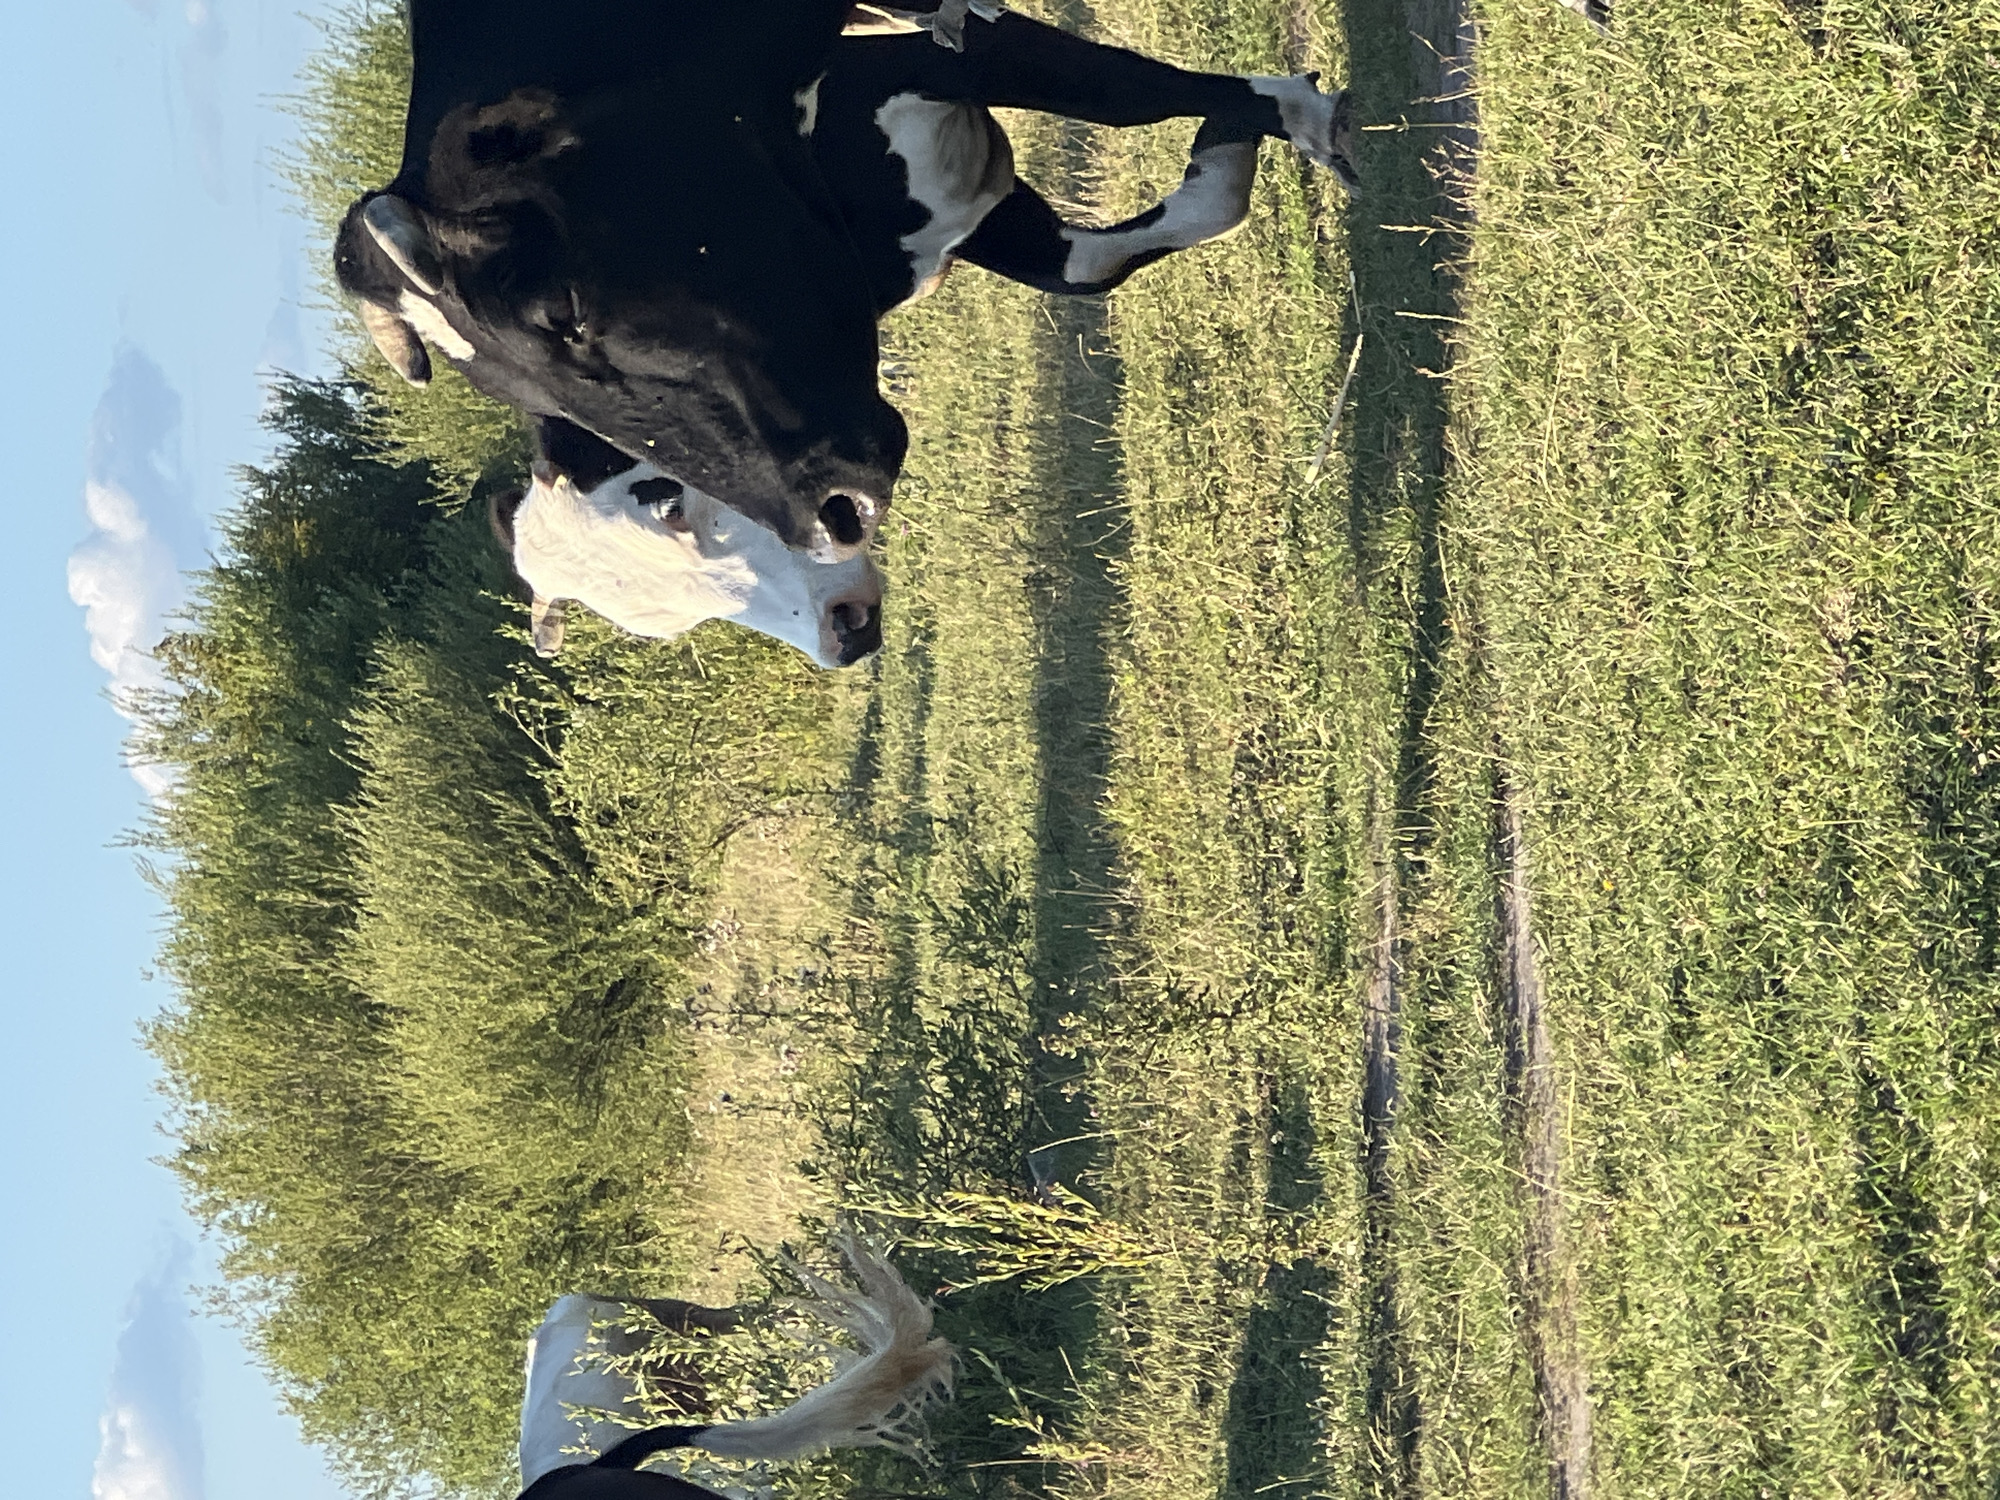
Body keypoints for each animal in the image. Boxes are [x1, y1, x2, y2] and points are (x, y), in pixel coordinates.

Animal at [338, 3, 1355, 562]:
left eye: (561, 309)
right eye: (529, 402)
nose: (831, 519)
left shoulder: (956, 48)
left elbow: (1131, 93)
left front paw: (1300, 117)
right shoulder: (952, 216)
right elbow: (1099, 259)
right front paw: (1229, 159)